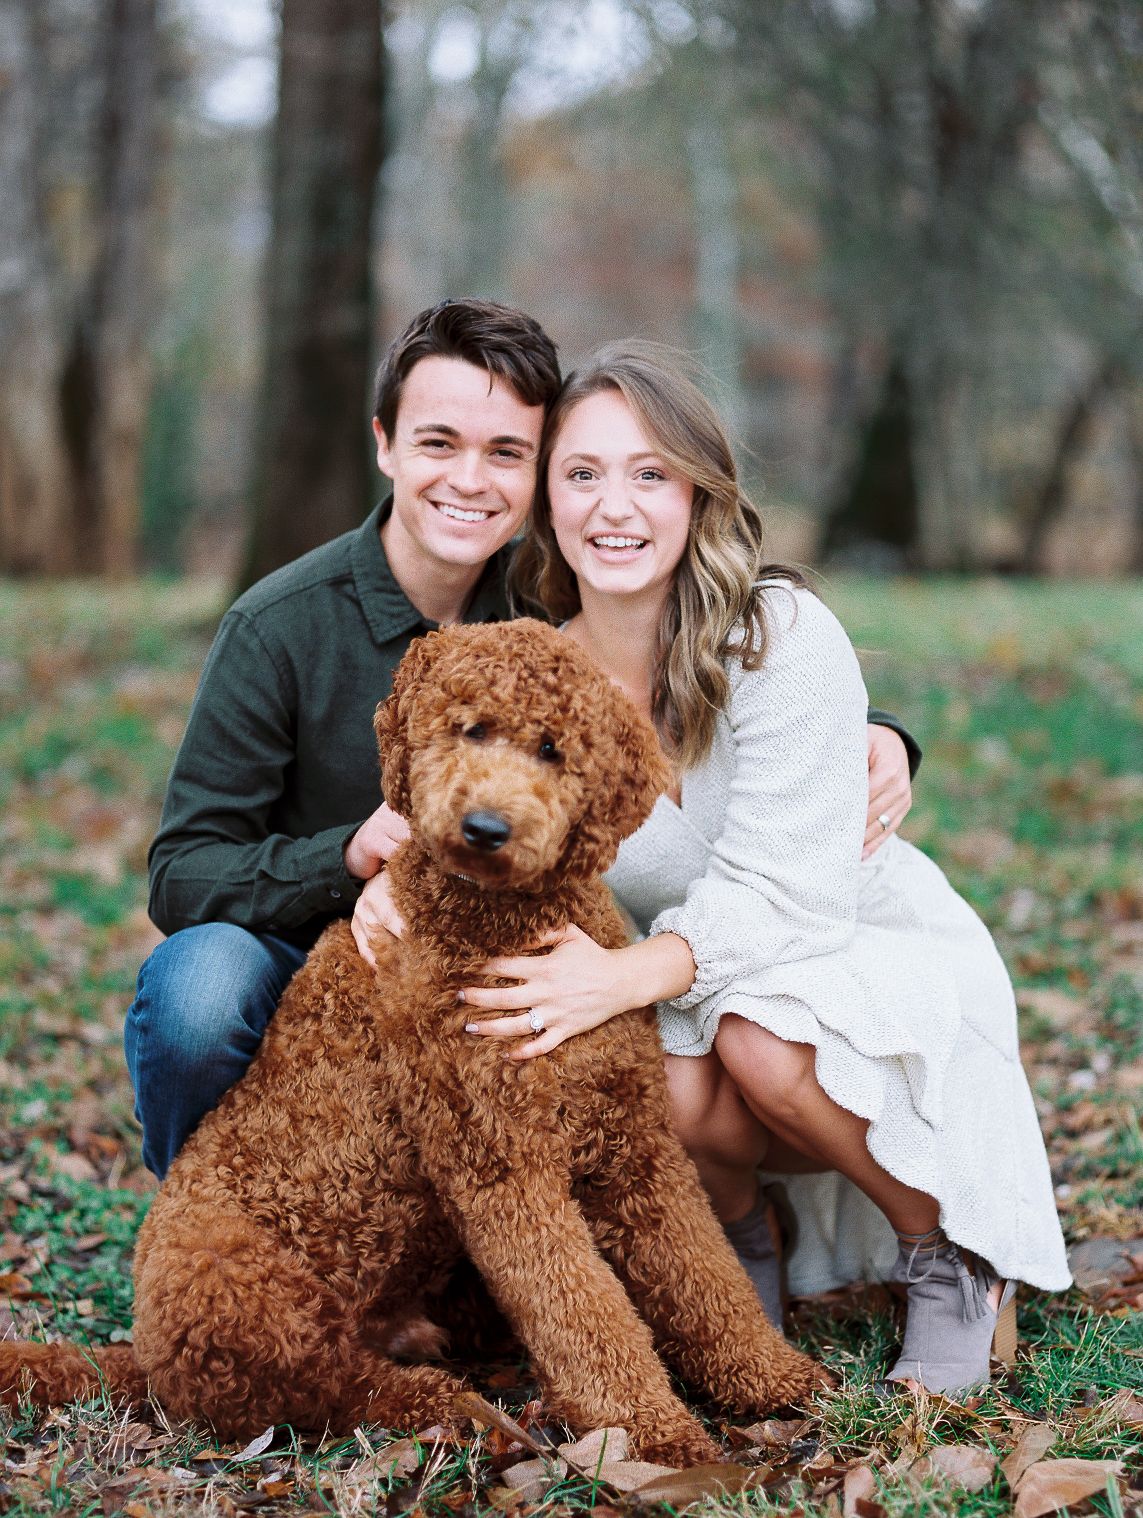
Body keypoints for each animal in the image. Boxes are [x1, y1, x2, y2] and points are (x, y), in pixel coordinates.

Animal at [0, 619, 819, 1469]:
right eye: (470, 728)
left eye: (552, 748)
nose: (485, 827)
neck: (499, 930)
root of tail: (144, 1353)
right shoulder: (499, 1166)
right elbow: (581, 1311)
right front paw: (651, 1433)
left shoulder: (635, 1145)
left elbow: (701, 1270)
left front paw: (766, 1374)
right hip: (247, 1296)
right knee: (329, 1391)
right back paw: (449, 1405)